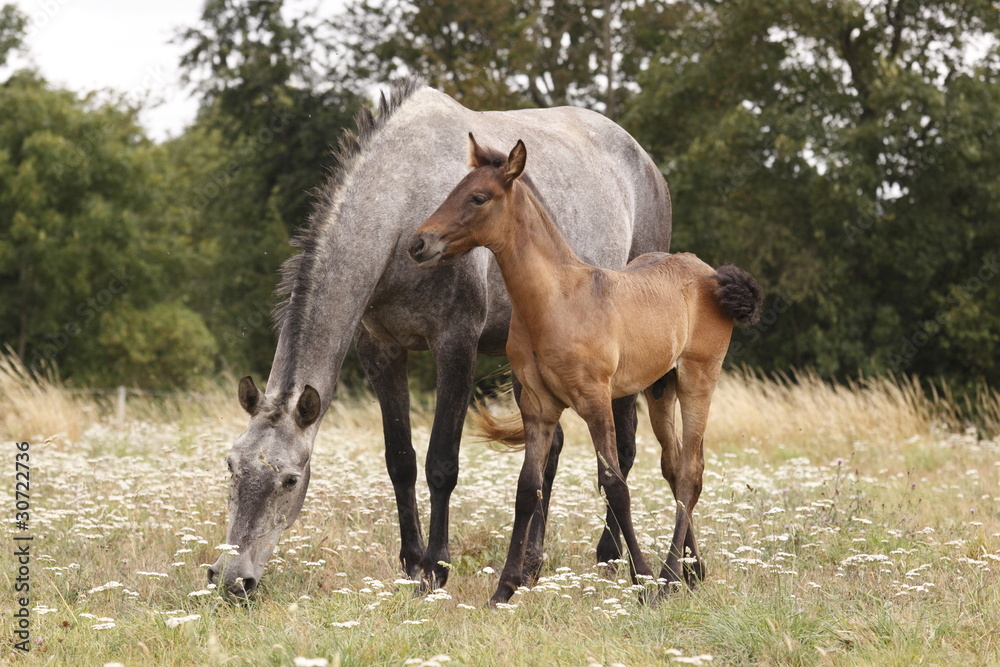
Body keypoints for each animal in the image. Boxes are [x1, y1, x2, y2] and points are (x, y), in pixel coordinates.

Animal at [406, 134, 756, 604]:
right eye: (452, 189)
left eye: (478, 197)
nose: (419, 244)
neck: (557, 301)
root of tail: (711, 275)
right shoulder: (538, 407)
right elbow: (527, 488)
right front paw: (505, 589)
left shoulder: (594, 399)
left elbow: (615, 484)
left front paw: (642, 581)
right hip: (659, 389)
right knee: (675, 465)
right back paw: (692, 570)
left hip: (698, 380)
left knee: (690, 473)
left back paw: (667, 576)